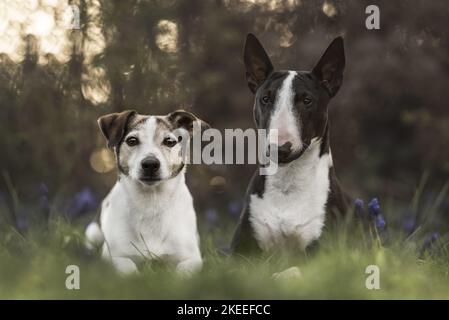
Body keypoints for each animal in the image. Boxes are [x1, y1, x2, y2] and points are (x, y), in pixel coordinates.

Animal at [85, 110, 206, 276]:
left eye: (169, 141)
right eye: (132, 140)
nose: (150, 164)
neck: (151, 201)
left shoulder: (191, 257)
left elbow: (184, 271)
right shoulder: (114, 256)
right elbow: (128, 267)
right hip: (93, 232)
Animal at [233, 34, 348, 255]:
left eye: (307, 100)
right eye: (265, 98)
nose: (280, 149)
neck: (287, 183)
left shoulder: (321, 250)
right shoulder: (240, 250)